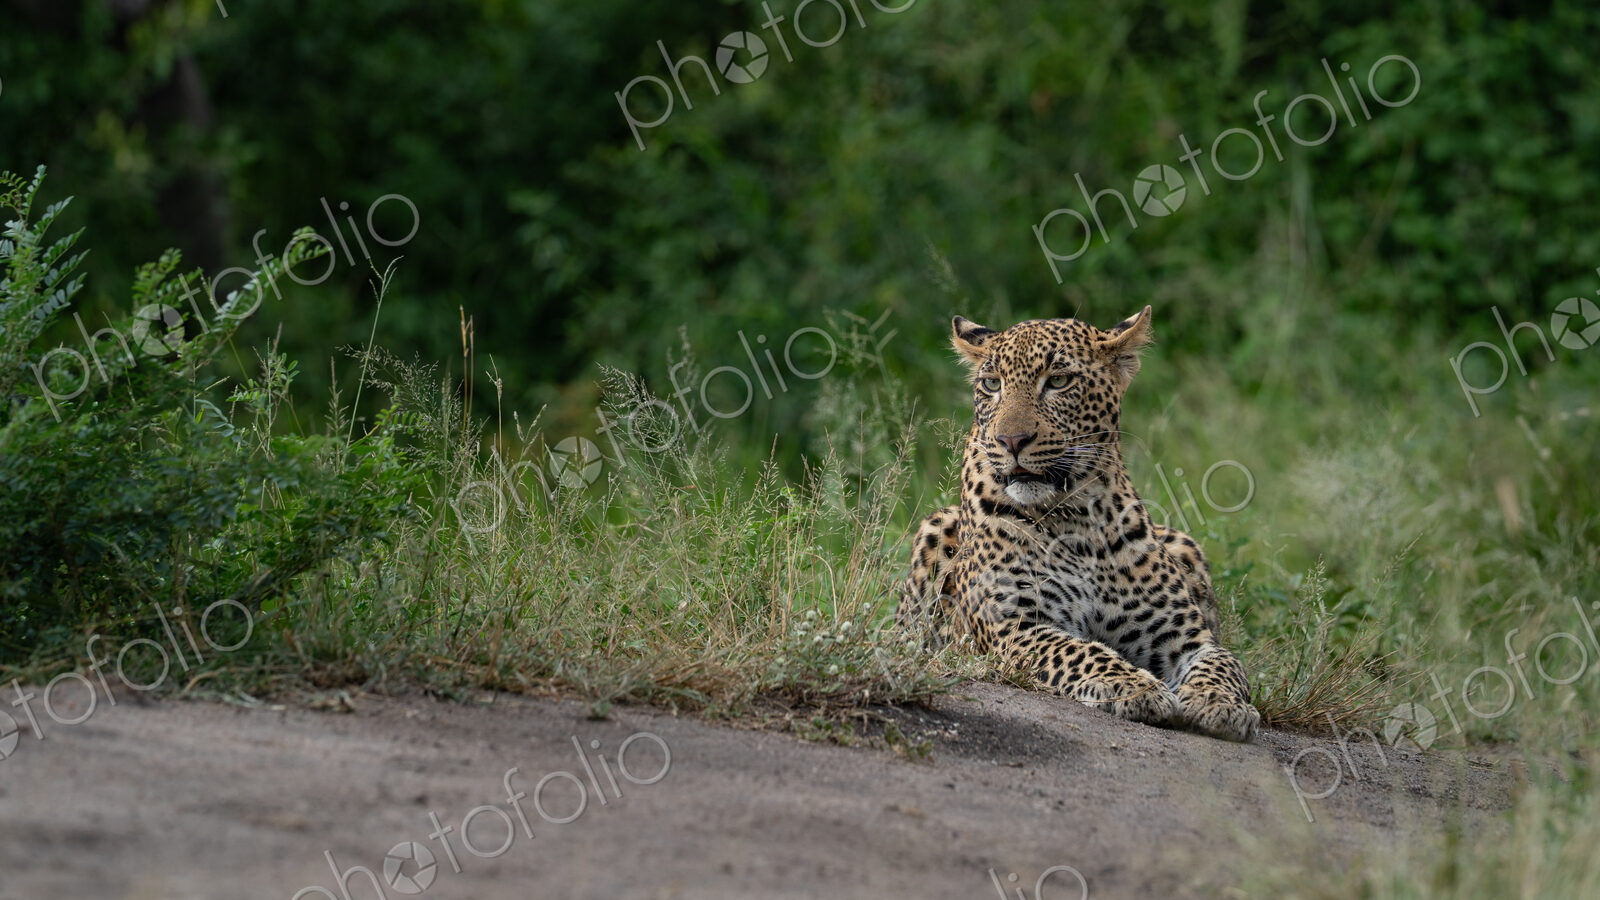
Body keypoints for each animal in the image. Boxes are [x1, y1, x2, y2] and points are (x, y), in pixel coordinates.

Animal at [895, 306, 1260, 742]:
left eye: (1059, 381)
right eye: (992, 384)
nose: (1010, 440)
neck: (1077, 518)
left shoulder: (1183, 637)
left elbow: (1224, 664)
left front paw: (1222, 704)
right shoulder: (1015, 624)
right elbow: (1081, 651)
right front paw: (1134, 687)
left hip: (1185, 544)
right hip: (935, 530)